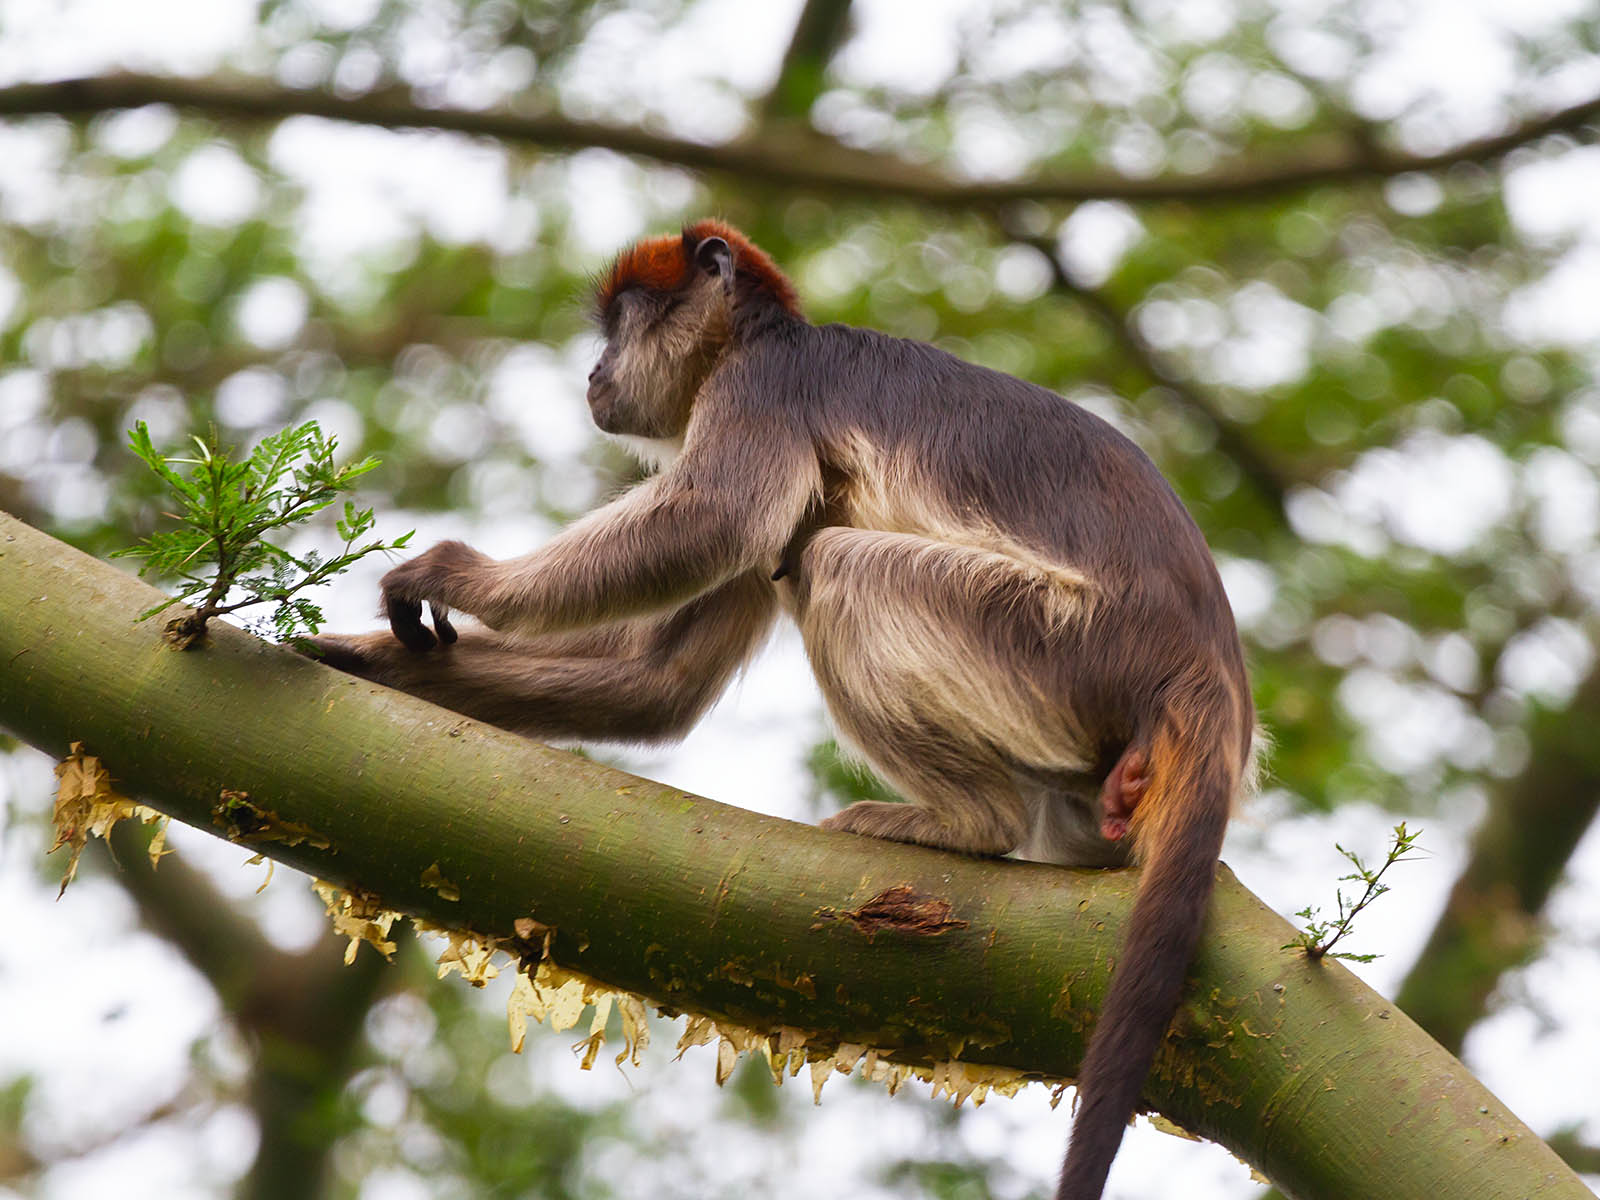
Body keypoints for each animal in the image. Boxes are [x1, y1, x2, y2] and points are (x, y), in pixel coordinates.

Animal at [312, 220, 1255, 1200]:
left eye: (618, 324)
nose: (595, 371)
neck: (762, 336)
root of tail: (1203, 679)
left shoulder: (761, 388)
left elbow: (714, 520)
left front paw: (456, 575)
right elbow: (658, 679)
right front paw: (361, 661)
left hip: (1065, 643)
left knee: (839, 565)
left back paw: (969, 822)